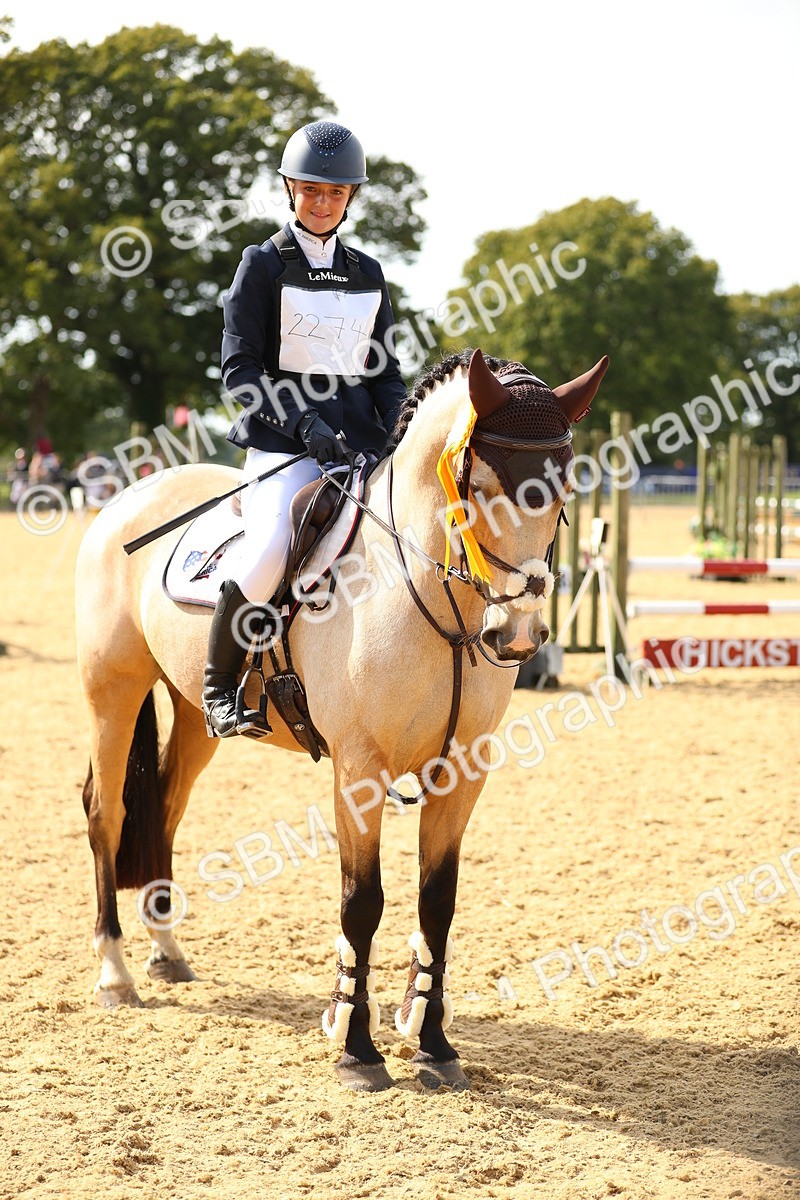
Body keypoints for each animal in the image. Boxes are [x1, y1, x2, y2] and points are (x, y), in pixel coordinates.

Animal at [75, 346, 608, 1092]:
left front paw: (433, 1042)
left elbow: (437, 902)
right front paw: (357, 1047)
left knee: (166, 811)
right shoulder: (359, 770)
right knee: (109, 813)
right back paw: (115, 972)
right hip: (113, 692)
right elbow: (363, 902)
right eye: (476, 486)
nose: (519, 634)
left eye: (562, 493)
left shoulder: (462, 772)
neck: (425, 597)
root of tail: (130, 495)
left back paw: (166, 951)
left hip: (189, 711)